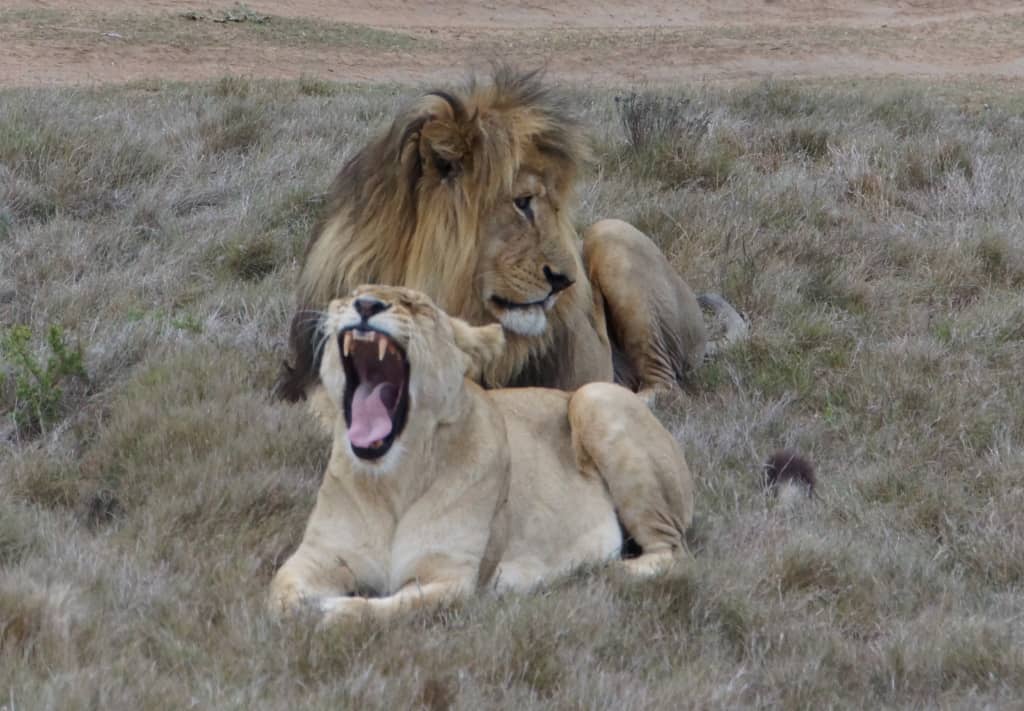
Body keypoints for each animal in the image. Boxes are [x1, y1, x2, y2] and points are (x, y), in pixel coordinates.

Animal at [268, 284, 692, 622]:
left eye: (415, 305)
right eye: (352, 293)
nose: (366, 305)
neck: (392, 479)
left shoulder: (451, 578)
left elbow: (389, 607)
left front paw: (333, 610)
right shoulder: (316, 557)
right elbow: (280, 596)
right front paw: (304, 608)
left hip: (595, 395)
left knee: (673, 552)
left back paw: (602, 572)